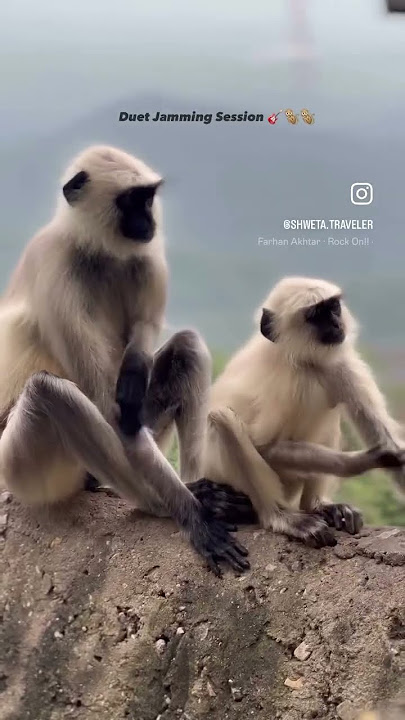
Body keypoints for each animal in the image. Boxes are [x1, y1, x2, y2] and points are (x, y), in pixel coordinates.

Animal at [0, 144, 250, 576]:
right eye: (132, 201)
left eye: (148, 199)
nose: (149, 219)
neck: (94, 250)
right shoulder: (54, 267)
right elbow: (110, 410)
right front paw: (193, 516)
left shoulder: (143, 256)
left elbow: (144, 334)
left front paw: (134, 366)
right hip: (21, 470)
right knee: (51, 392)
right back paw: (167, 505)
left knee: (186, 349)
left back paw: (197, 486)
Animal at [185, 277, 405, 548]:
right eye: (316, 315)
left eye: (333, 308)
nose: (335, 323)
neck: (301, 360)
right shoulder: (289, 383)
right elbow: (264, 447)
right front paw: (365, 460)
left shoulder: (340, 365)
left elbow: (383, 434)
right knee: (221, 418)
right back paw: (281, 517)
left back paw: (317, 506)